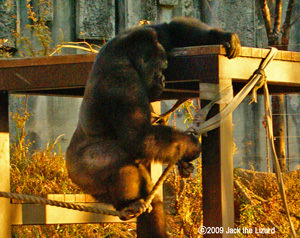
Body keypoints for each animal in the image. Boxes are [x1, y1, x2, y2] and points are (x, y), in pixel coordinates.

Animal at [67, 17, 240, 238]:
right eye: (160, 69)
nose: (163, 80)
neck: (126, 57)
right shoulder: (123, 82)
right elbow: (139, 137)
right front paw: (190, 146)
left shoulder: (139, 36)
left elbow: (168, 30)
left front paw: (221, 36)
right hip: (81, 172)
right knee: (115, 157)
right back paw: (129, 202)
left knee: (152, 202)